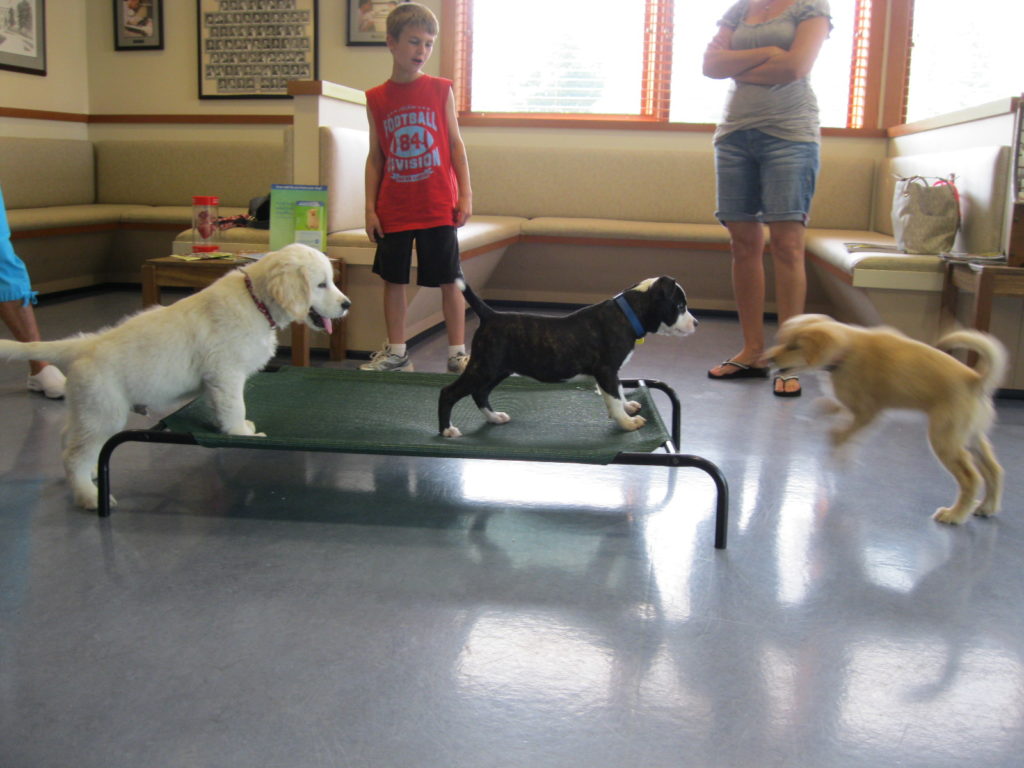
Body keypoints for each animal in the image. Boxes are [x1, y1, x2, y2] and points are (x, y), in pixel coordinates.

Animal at [0, 243, 350, 512]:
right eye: (321, 284)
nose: (347, 305)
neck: (256, 301)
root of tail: (82, 344)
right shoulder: (226, 373)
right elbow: (235, 406)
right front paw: (241, 433)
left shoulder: (216, 380)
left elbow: (221, 407)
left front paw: (233, 427)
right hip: (104, 412)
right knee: (74, 456)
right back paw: (89, 497)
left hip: (86, 408)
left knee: (66, 440)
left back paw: (90, 476)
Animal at [765, 315, 1003, 528]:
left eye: (794, 346)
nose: (769, 359)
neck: (847, 349)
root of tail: (975, 380)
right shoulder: (852, 406)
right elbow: (833, 409)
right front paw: (820, 413)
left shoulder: (867, 413)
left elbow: (841, 434)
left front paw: (839, 454)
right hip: (971, 437)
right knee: (993, 469)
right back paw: (987, 506)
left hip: (945, 439)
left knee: (971, 478)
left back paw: (955, 514)